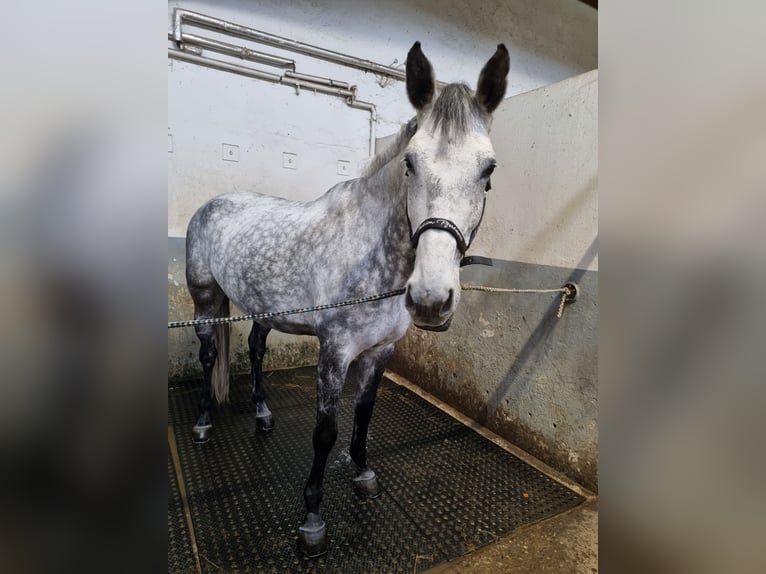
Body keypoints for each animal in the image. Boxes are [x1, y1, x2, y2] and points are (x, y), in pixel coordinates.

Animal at [185, 41, 509, 557]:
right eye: (410, 163)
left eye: (488, 170)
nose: (430, 299)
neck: (376, 258)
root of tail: (211, 206)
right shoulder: (334, 352)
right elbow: (326, 432)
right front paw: (312, 517)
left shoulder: (380, 352)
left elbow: (363, 414)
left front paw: (363, 473)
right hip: (203, 300)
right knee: (209, 353)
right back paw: (201, 422)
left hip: (264, 308)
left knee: (254, 349)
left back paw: (262, 414)